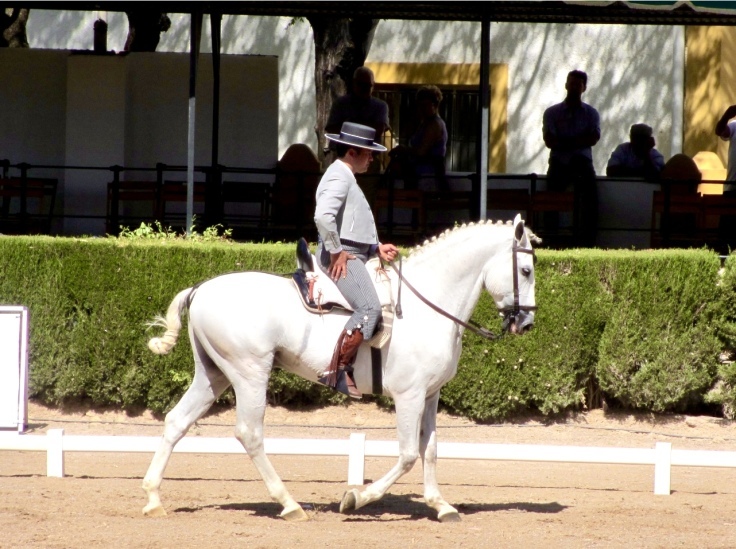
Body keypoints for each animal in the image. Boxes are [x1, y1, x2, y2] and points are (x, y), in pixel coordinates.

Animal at [142, 213, 538, 523]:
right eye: (526, 270)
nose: (527, 324)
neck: (427, 305)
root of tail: (201, 288)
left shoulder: (430, 394)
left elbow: (430, 450)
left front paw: (440, 505)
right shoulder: (408, 396)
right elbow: (409, 454)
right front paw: (356, 498)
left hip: (214, 374)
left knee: (177, 421)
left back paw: (153, 499)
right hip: (249, 374)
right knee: (249, 433)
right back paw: (289, 504)